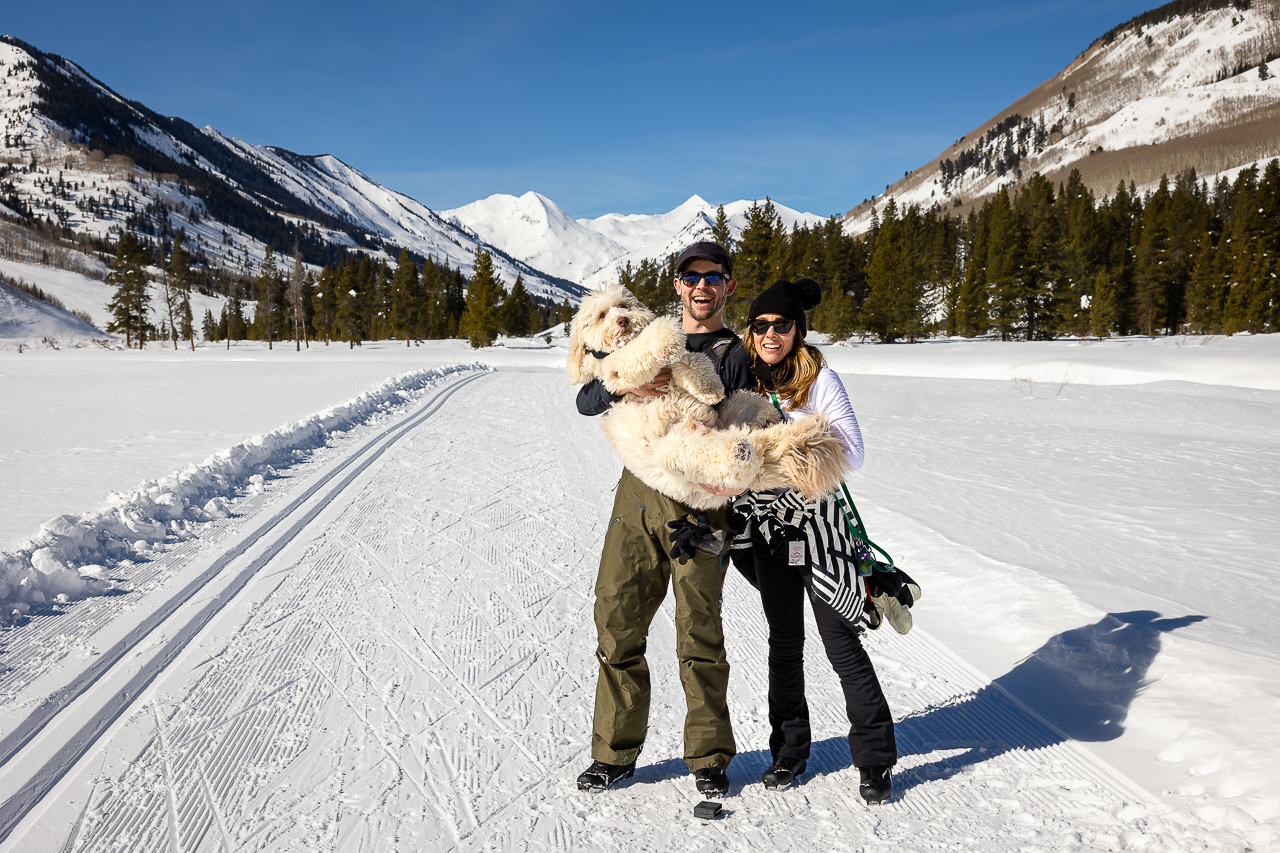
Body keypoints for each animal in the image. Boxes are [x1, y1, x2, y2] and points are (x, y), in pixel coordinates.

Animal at [568, 285, 849, 507]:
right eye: (601, 315)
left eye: (623, 306)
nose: (623, 321)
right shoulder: (614, 372)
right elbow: (634, 354)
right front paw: (663, 341)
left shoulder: (681, 363)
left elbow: (692, 360)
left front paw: (709, 388)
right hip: (675, 450)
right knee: (724, 461)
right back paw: (739, 451)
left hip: (738, 405)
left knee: (757, 427)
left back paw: (772, 422)